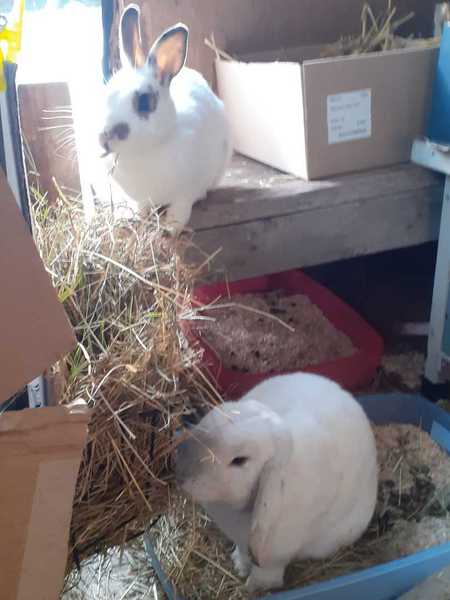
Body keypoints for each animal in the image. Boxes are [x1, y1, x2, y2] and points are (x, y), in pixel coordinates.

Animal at [97, 4, 232, 233]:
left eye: (144, 101)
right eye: (106, 93)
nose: (103, 136)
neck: (144, 154)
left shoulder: (186, 193)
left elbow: (180, 210)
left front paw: (170, 229)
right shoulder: (141, 197)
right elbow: (141, 207)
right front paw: (136, 218)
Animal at [175, 372, 378, 594]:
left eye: (240, 460)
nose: (179, 471)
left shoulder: (272, 561)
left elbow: (263, 577)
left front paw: (250, 588)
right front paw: (239, 565)